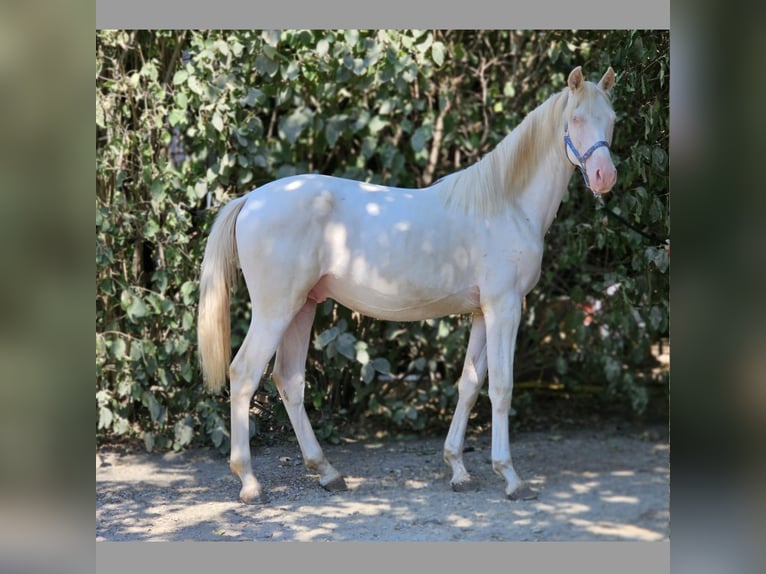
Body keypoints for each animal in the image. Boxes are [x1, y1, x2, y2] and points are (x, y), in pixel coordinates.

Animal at [198, 65, 616, 502]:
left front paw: (458, 469)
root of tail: (251, 200)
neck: (507, 204)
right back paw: (250, 481)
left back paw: (327, 472)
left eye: (612, 120)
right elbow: (501, 387)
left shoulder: (483, 312)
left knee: (289, 380)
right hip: (275, 311)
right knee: (245, 374)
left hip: (303, 306)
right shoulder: (505, 308)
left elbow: (469, 384)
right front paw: (511, 477)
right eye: (576, 119)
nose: (604, 177)